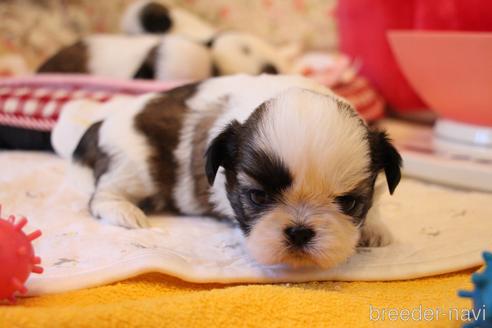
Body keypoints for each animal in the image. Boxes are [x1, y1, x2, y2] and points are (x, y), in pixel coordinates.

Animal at [56, 75, 404, 270]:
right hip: (133, 166)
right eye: (257, 197)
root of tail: (102, 122)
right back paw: (125, 212)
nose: (300, 231)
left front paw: (375, 227)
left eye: (349, 203)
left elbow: (378, 200)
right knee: (102, 195)